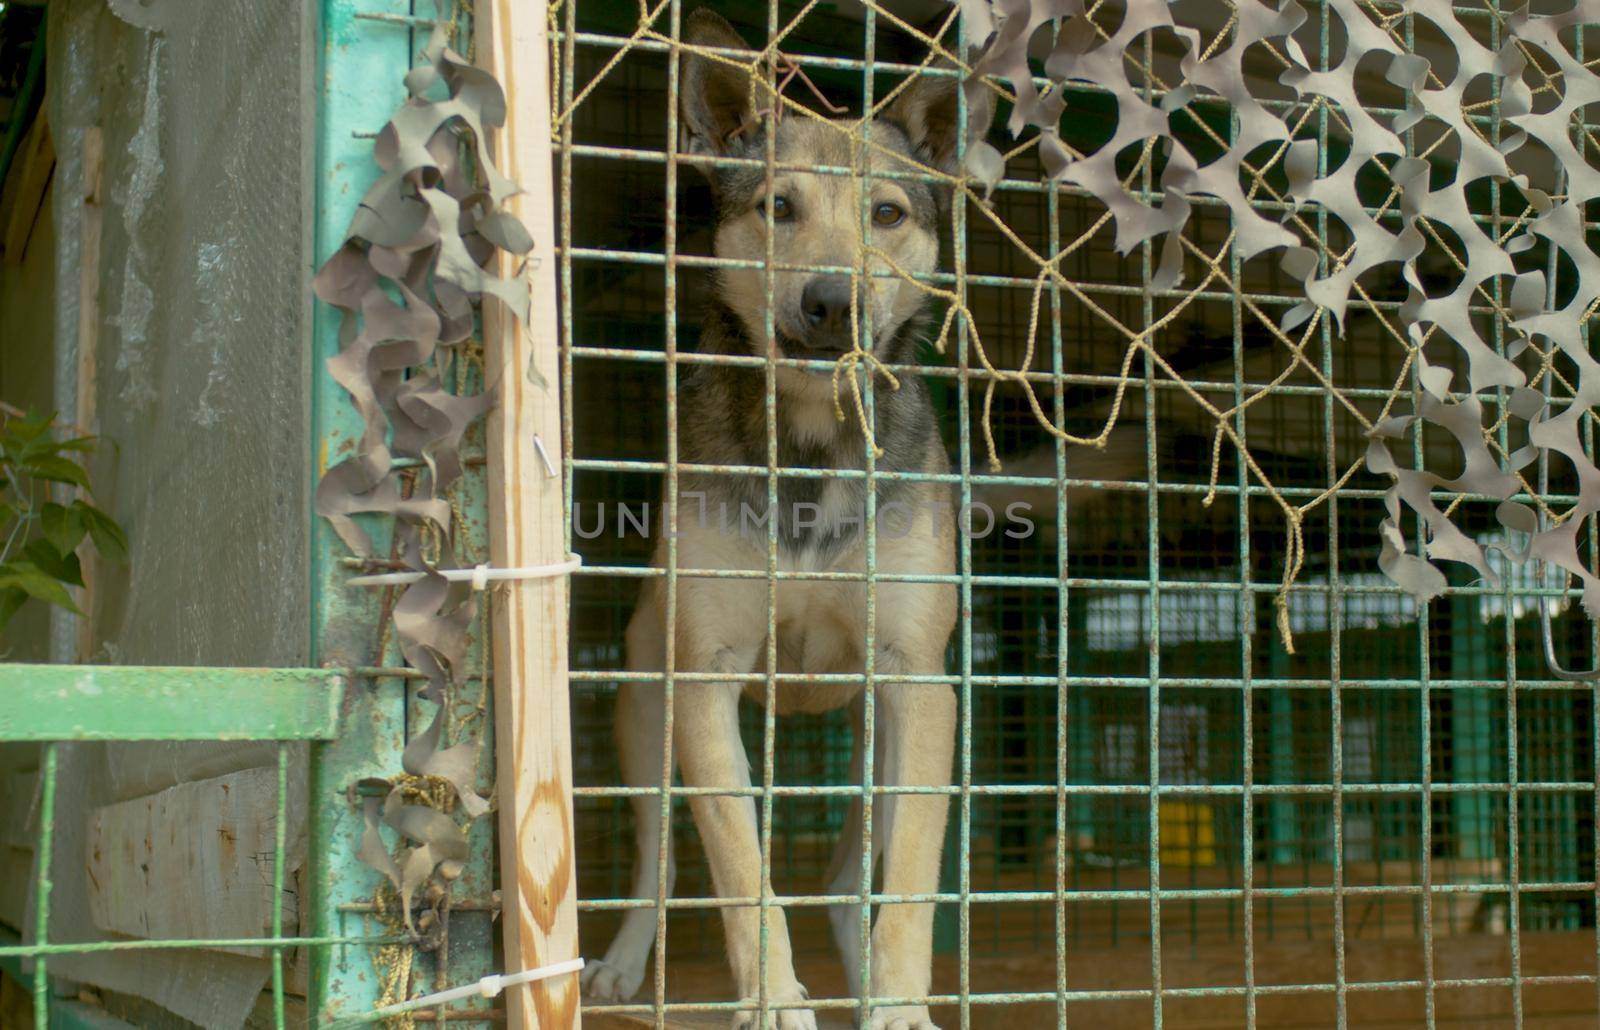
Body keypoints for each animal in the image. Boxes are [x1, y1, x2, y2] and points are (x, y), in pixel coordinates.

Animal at [582, 10, 992, 1030]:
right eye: (778, 207)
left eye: (888, 214)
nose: (833, 302)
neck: (811, 439)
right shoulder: (706, 684)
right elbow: (742, 870)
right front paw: (771, 999)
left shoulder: (919, 684)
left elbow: (911, 883)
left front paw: (899, 1006)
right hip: (643, 708)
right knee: (658, 860)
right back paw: (624, 965)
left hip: (875, 738)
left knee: (854, 881)